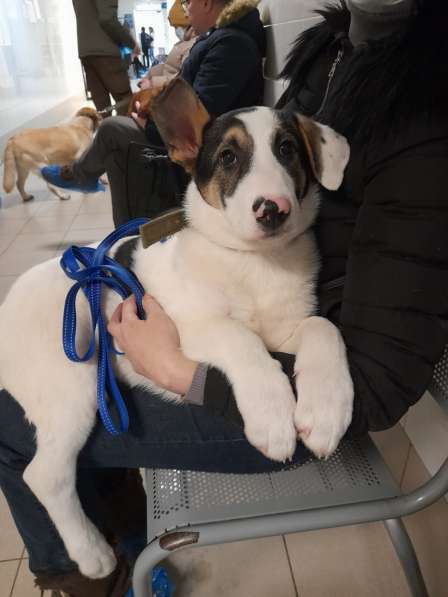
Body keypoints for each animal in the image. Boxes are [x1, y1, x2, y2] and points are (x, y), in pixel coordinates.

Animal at [0, 79, 354, 576]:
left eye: (287, 149)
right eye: (228, 157)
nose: (273, 210)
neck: (254, 263)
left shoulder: (287, 330)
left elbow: (324, 327)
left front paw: (326, 410)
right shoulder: (184, 322)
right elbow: (240, 338)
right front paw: (272, 414)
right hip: (70, 381)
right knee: (45, 475)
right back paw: (91, 553)